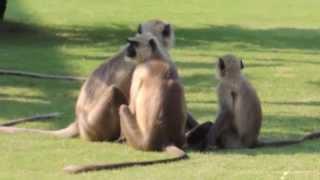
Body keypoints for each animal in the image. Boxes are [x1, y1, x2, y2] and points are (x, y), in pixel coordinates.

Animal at [64, 34, 188, 174]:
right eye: (130, 42)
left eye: (134, 44)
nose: (127, 49)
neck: (155, 57)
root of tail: (164, 140)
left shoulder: (138, 70)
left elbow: (131, 106)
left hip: (130, 138)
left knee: (120, 103)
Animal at [186, 54, 320, 150]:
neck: (235, 75)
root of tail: (253, 142)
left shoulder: (222, 86)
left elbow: (226, 112)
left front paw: (208, 142)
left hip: (232, 140)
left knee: (213, 125)